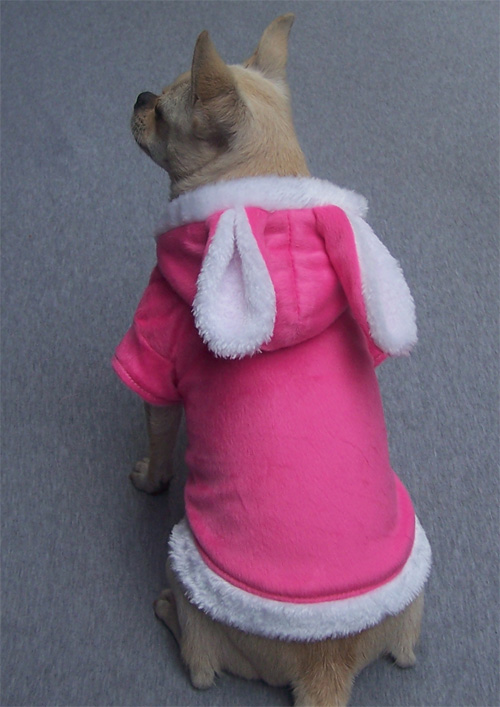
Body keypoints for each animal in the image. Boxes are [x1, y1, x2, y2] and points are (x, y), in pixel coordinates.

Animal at [114, 14, 431, 706]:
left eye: (162, 114)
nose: (139, 96)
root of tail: (328, 663)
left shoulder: (153, 359)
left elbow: (157, 440)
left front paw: (149, 476)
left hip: (188, 562)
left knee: (199, 660)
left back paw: (167, 610)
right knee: (404, 647)